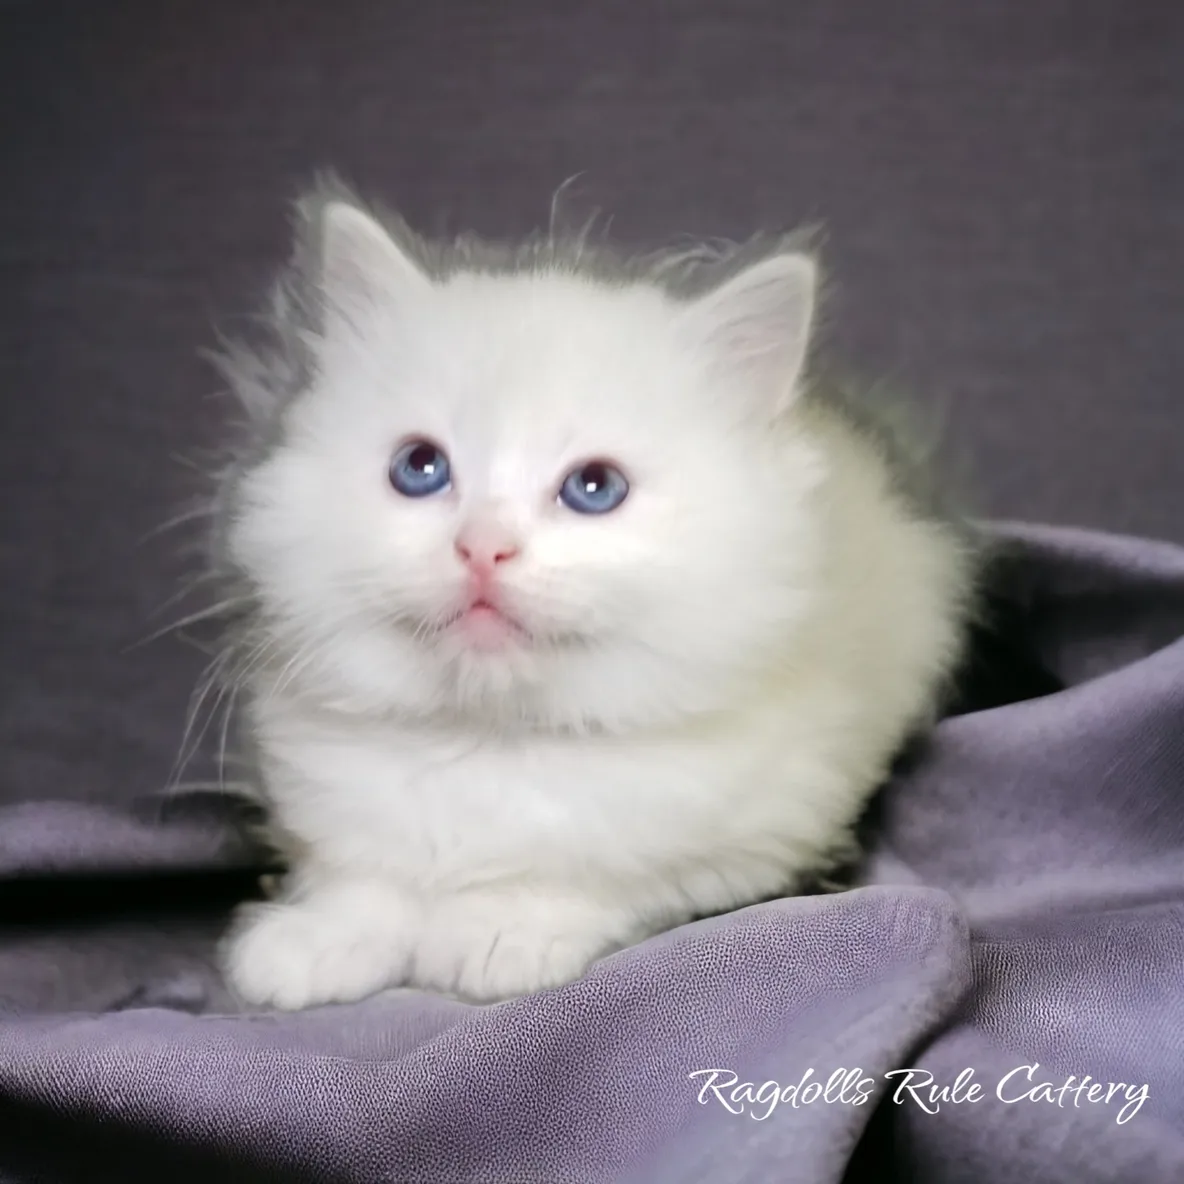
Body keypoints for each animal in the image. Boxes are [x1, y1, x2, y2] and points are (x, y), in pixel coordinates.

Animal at [208, 184, 975, 1008]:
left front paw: (500, 932)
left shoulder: (752, 831)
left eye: (595, 488)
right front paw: (318, 941)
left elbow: (594, 874)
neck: (491, 741)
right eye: (419, 468)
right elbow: (358, 875)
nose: (483, 547)